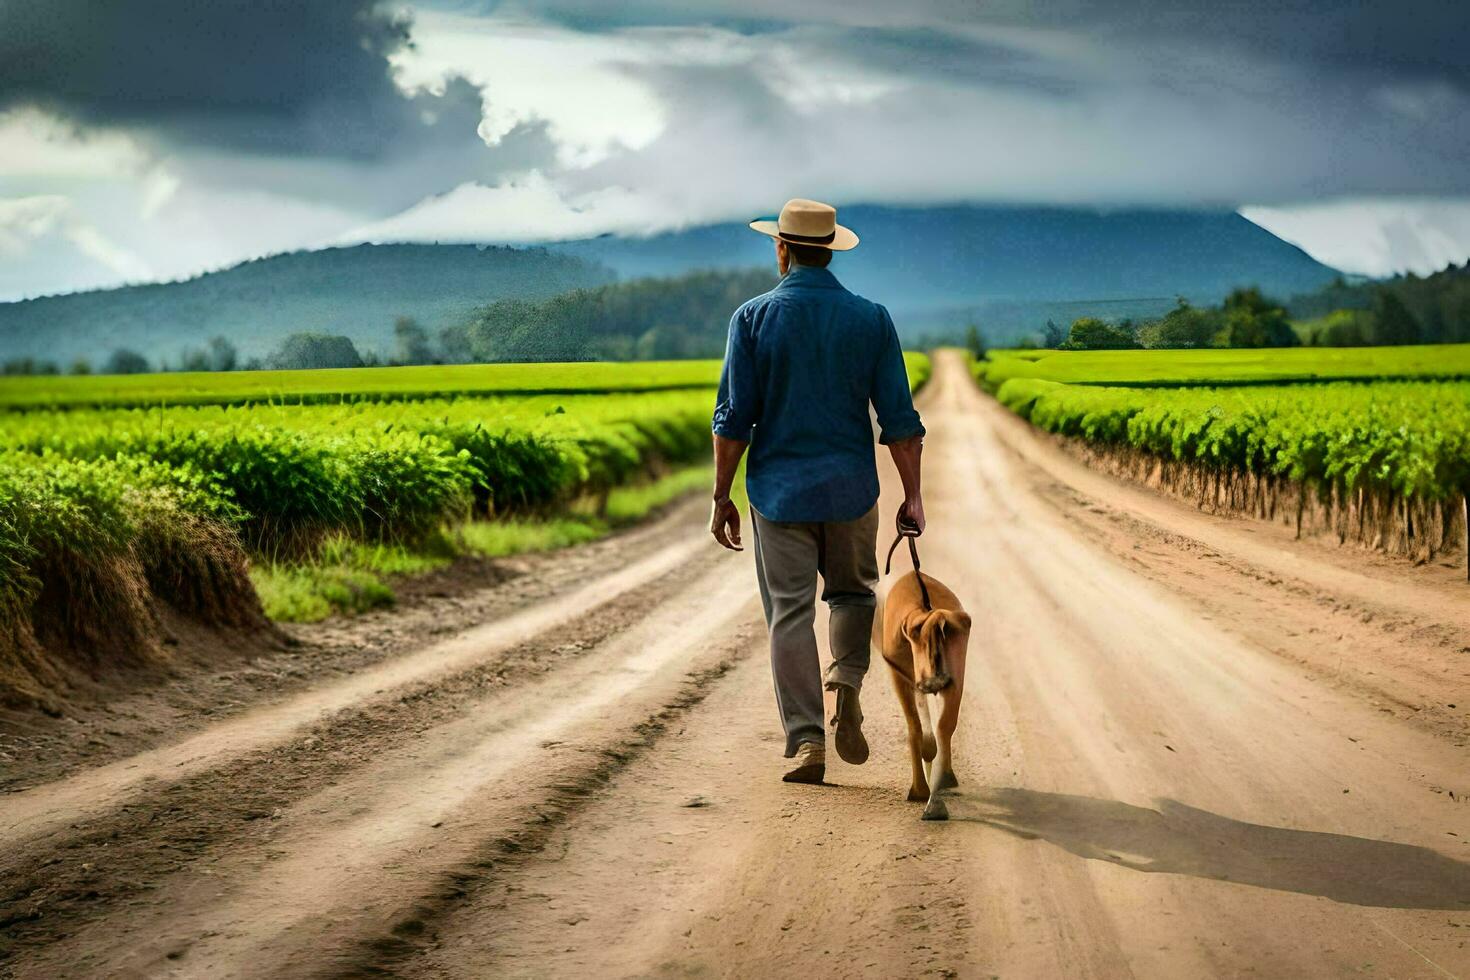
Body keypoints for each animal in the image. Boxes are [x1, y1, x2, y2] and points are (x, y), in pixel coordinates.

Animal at [876, 567, 970, 822]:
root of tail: (931, 616)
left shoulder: (900, 675)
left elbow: (916, 728)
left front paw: (920, 791)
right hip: (954, 678)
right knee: (946, 726)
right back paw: (941, 786)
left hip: (912, 679)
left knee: (920, 727)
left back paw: (923, 793)